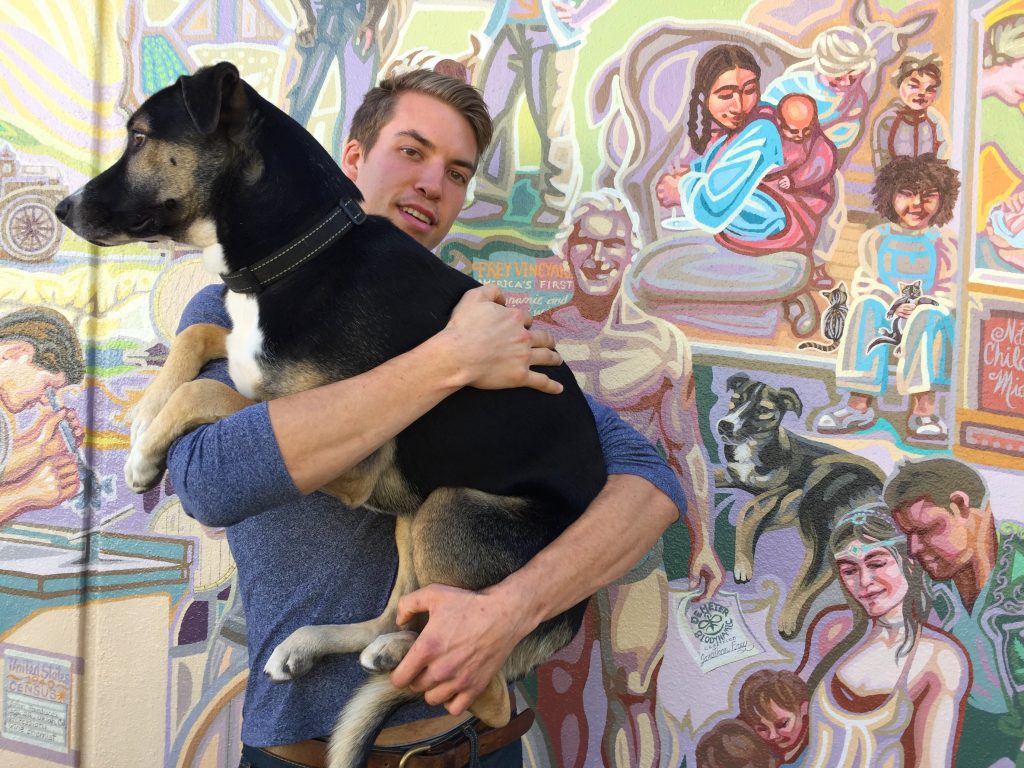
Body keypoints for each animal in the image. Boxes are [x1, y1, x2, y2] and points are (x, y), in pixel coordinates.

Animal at [56, 61, 602, 768]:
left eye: (141, 136)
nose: (62, 209)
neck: (300, 251)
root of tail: (577, 606)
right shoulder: (247, 351)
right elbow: (197, 339)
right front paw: (145, 426)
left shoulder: (351, 454)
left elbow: (210, 395)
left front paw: (148, 451)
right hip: (411, 514)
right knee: (402, 613)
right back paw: (329, 644)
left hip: (451, 508)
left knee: (479, 685)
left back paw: (403, 663)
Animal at [712, 372, 888, 638]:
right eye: (735, 400)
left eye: (762, 410)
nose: (724, 425)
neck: (753, 447)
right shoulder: (740, 479)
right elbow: (723, 480)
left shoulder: (782, 487)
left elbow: (746, 511)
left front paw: (743, 565)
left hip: (818, 487)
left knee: (820, 566)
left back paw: (788, 618)